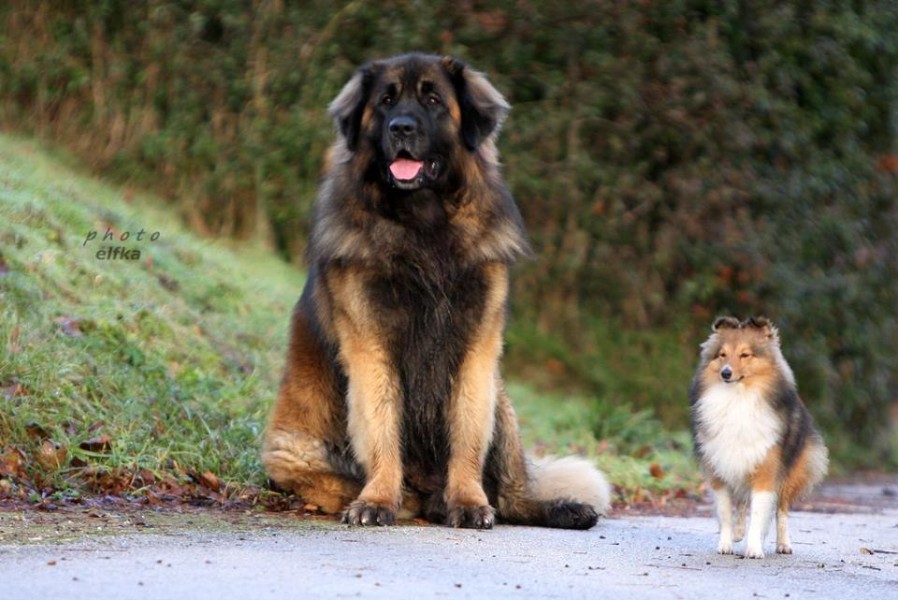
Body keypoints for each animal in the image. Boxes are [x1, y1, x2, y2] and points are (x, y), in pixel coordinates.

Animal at [260, 54, 608, 528]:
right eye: (386, 101)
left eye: (432, 100)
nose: (401, 128)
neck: (423, 224)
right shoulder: (371, 347)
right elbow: (383, 427)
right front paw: (378, 500)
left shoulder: (477, 350)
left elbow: (467, 435)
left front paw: (468, 502)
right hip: (294, 455)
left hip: (501, 400)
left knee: (511, 496)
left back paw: (559, 509)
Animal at [692, 318, 824, 556]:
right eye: (722, 354)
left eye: (745, 355)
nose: (726, 373)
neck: (737, 398)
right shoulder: (719, 468)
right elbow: (726, 512)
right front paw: (725, 544)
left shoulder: (766, 469)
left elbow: (759, 514)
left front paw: (754, 548)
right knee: (742, 504)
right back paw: (738, 533)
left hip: (790, 475)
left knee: (781, 511)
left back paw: (783, 545)